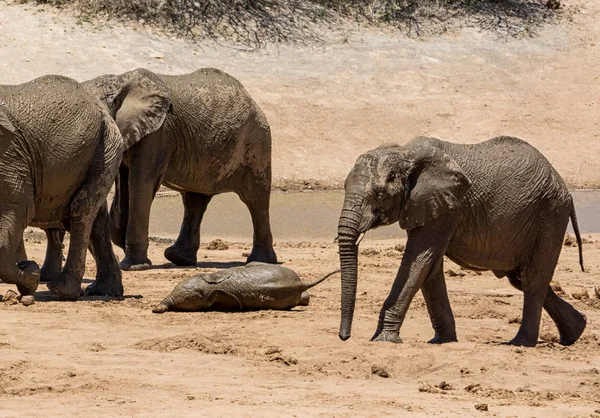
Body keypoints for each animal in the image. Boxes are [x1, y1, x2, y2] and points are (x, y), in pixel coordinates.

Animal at [0, 73, 171, 298]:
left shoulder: (11, 155)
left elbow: (16, 211)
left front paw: (31, 274)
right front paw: (29, 275)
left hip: (105, 146)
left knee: (80, 211)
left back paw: (63, 290)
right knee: (95, 219)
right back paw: (105, 290)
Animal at [63, 68, 276, 272]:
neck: (120, 80)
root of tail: (252, 99)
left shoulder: (158, 133)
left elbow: (140, 184)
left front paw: (134, 266)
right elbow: (124, 186)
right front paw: (123, 245)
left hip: (257, 142)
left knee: (256, 200)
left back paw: (261, 261)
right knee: (195, 200)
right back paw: (179, 258)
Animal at [338, 136, 584, 346]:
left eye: (379, 195)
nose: (344, 336)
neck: (406, 152)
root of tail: (563, 186)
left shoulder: (449, 207)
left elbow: (419, 261)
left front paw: (383, 340)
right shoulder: (429, 207)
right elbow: (430, 266)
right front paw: (442, 341)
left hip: (549, 214)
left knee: (534, 279)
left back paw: (520, 343)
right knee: (520, 278)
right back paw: (576, 331)